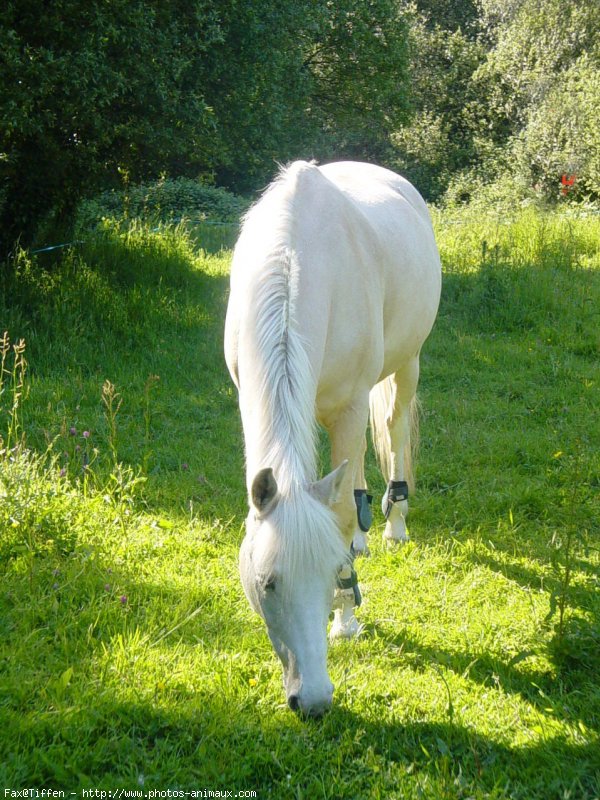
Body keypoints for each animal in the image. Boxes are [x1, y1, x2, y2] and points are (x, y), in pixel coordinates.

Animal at [225, 159, 440, 716]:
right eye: (267, 583)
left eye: (327, 574)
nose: (315, 700)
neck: (295, 259)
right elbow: (342, 502)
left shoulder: (351, 405)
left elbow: (342, 512)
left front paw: (345, 618)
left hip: (407, 366)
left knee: (393, 432)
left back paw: (393, 525)